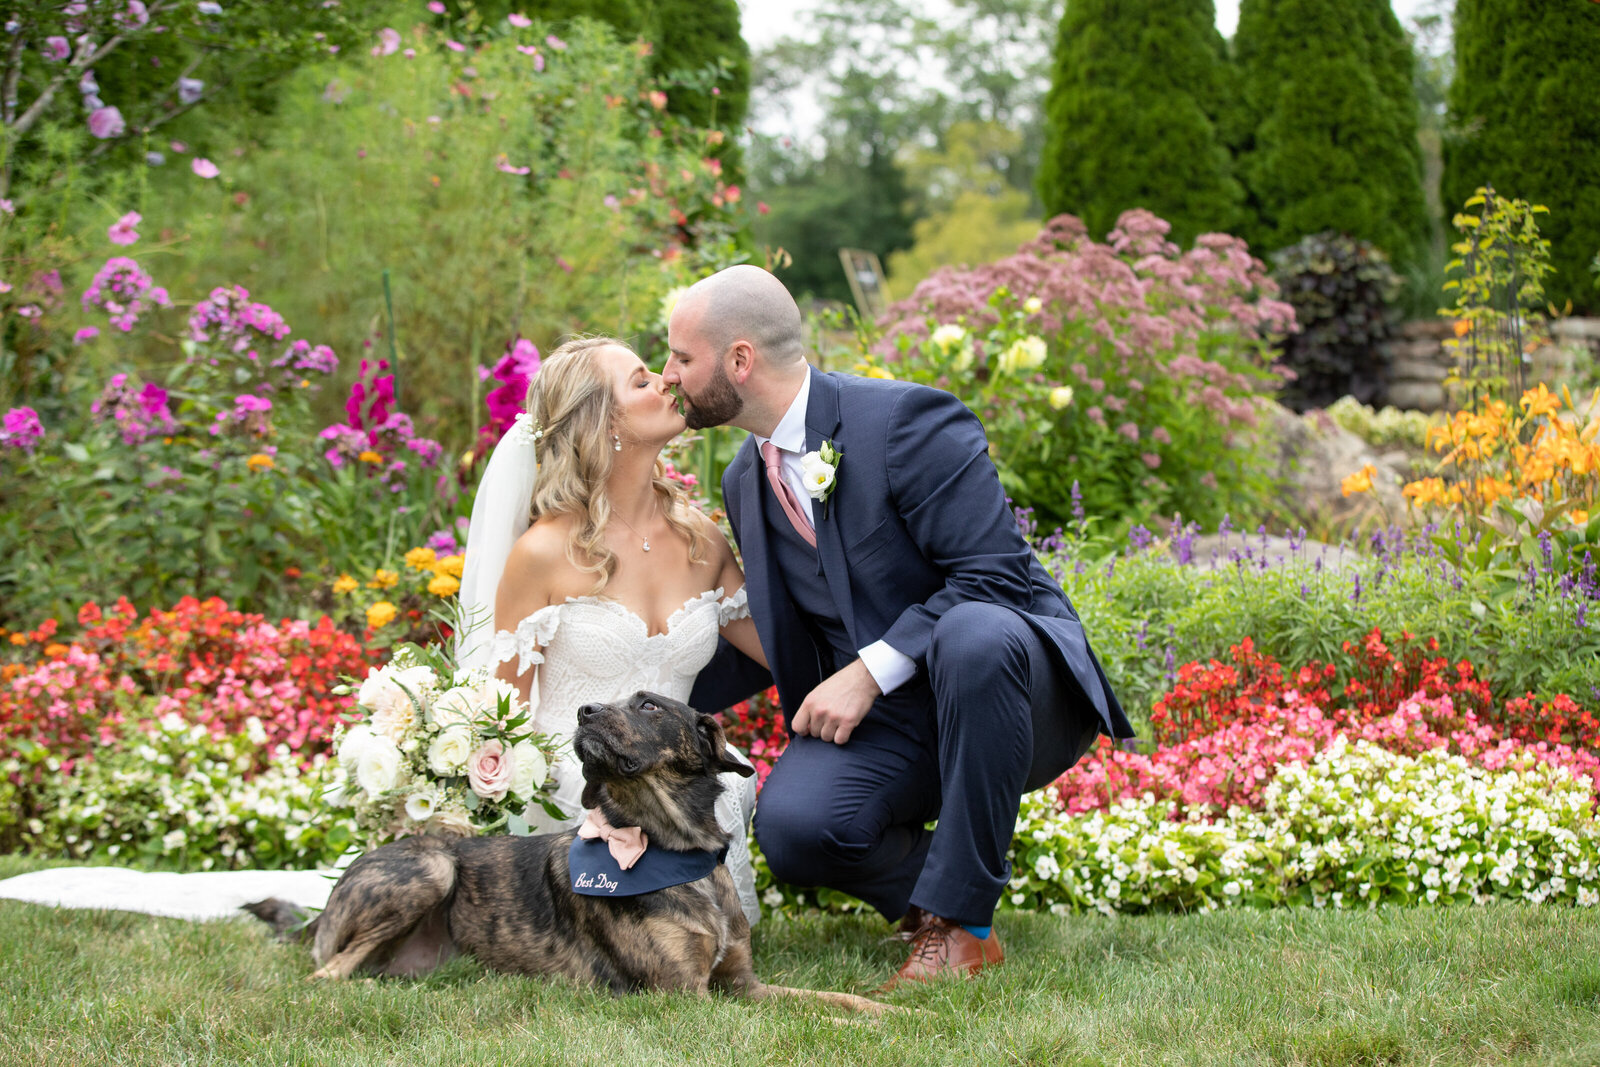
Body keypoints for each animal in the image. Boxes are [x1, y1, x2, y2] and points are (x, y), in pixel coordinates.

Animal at [246, 687, 889, 1017]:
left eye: (649, 705)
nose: (585, 711)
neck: (675, 848)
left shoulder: (743, 983)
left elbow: (829, 998)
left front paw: (895, 1011)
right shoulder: (685, 997)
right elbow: (787, 1012)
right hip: (431, 867)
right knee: (327, 973)